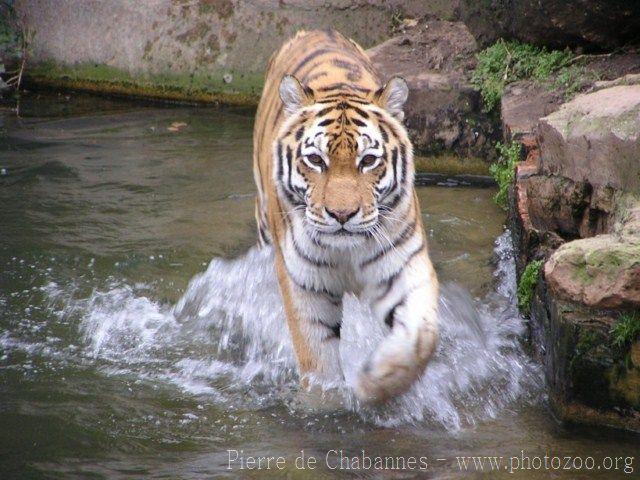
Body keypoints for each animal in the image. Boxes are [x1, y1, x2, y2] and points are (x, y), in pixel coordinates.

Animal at [252, 30, 438, 404]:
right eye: (315, 160)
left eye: (367, 161)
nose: (341, 214)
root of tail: (314, 30)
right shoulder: (304, 283)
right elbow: (318, 359)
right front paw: (325, 404)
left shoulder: (401, 265)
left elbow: (421, 334)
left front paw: (377, 380)